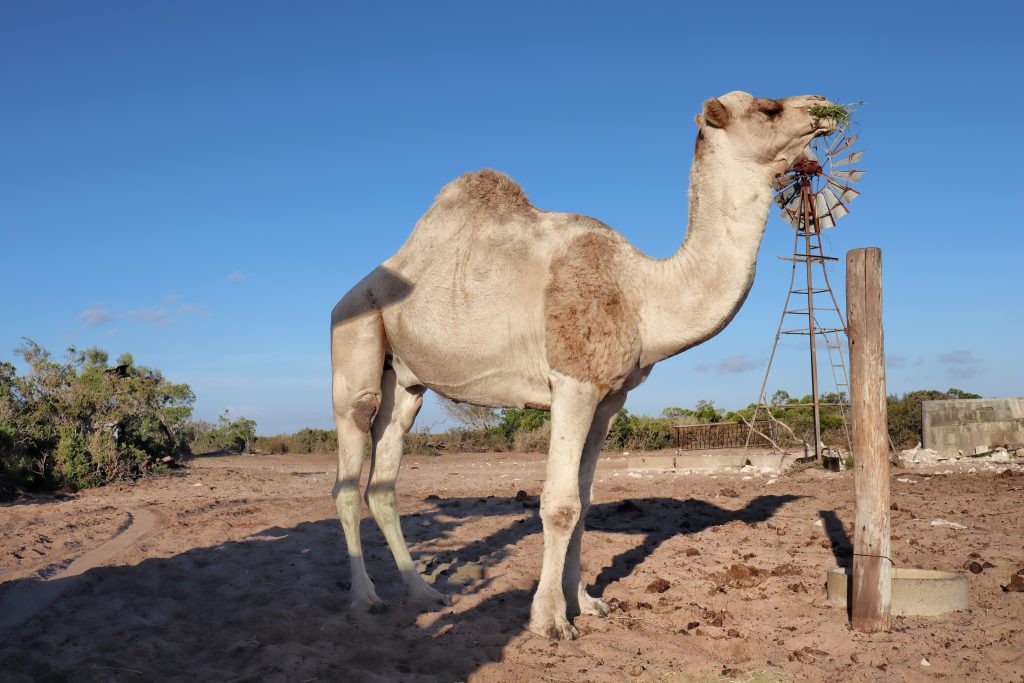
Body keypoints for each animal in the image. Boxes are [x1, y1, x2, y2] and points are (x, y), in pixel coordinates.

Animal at [331, 92, 835, 643]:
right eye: (768, 109)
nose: (823, 106)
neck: (641, 290)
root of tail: (351, 294)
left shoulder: (610, 396)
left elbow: (587, 499)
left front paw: (586, 603)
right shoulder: (572, 382)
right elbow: (560, 502)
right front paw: (550, 620)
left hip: (407, 383)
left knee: (384, 482)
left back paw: (424, 593)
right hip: (354, 344)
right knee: (348, 473)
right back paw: (365, 599)